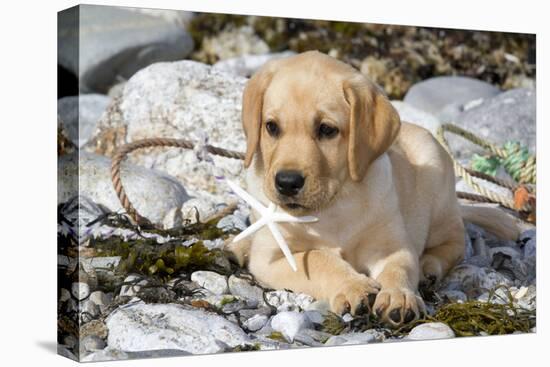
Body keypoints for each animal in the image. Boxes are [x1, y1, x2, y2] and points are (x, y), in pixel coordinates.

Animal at [232, 49, 520, 328]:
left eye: (327, 129)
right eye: (271, 127)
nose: (287, 182)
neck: (332, 206)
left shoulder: (391, 246)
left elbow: (399, 268)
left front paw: (399, 297)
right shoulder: (270, 258)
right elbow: (318, 258)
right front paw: (353, 286)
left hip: (438, 189)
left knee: (454, 242)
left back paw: (428, 267)